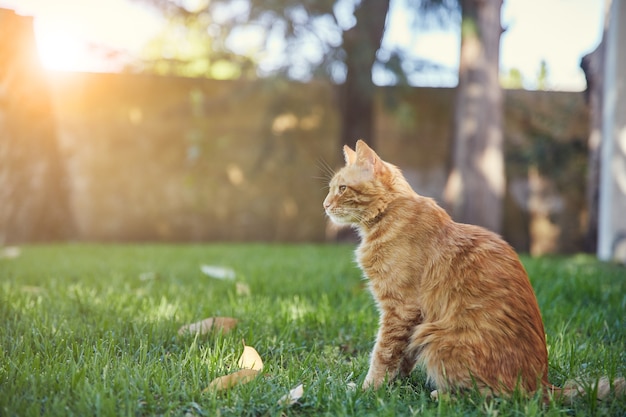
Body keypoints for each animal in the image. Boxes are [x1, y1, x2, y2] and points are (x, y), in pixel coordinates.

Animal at [324, 139, 620, 400]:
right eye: (331, 189)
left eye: (342, 188)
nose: (325, 205)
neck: (388, 213)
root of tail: (542, 384)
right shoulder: (412, 318)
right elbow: (403, 357)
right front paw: (394, 385)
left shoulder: (401, 309)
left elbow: (382, 354)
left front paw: (369, 389)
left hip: (437, 338)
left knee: (494, 397)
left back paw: (441, 395)